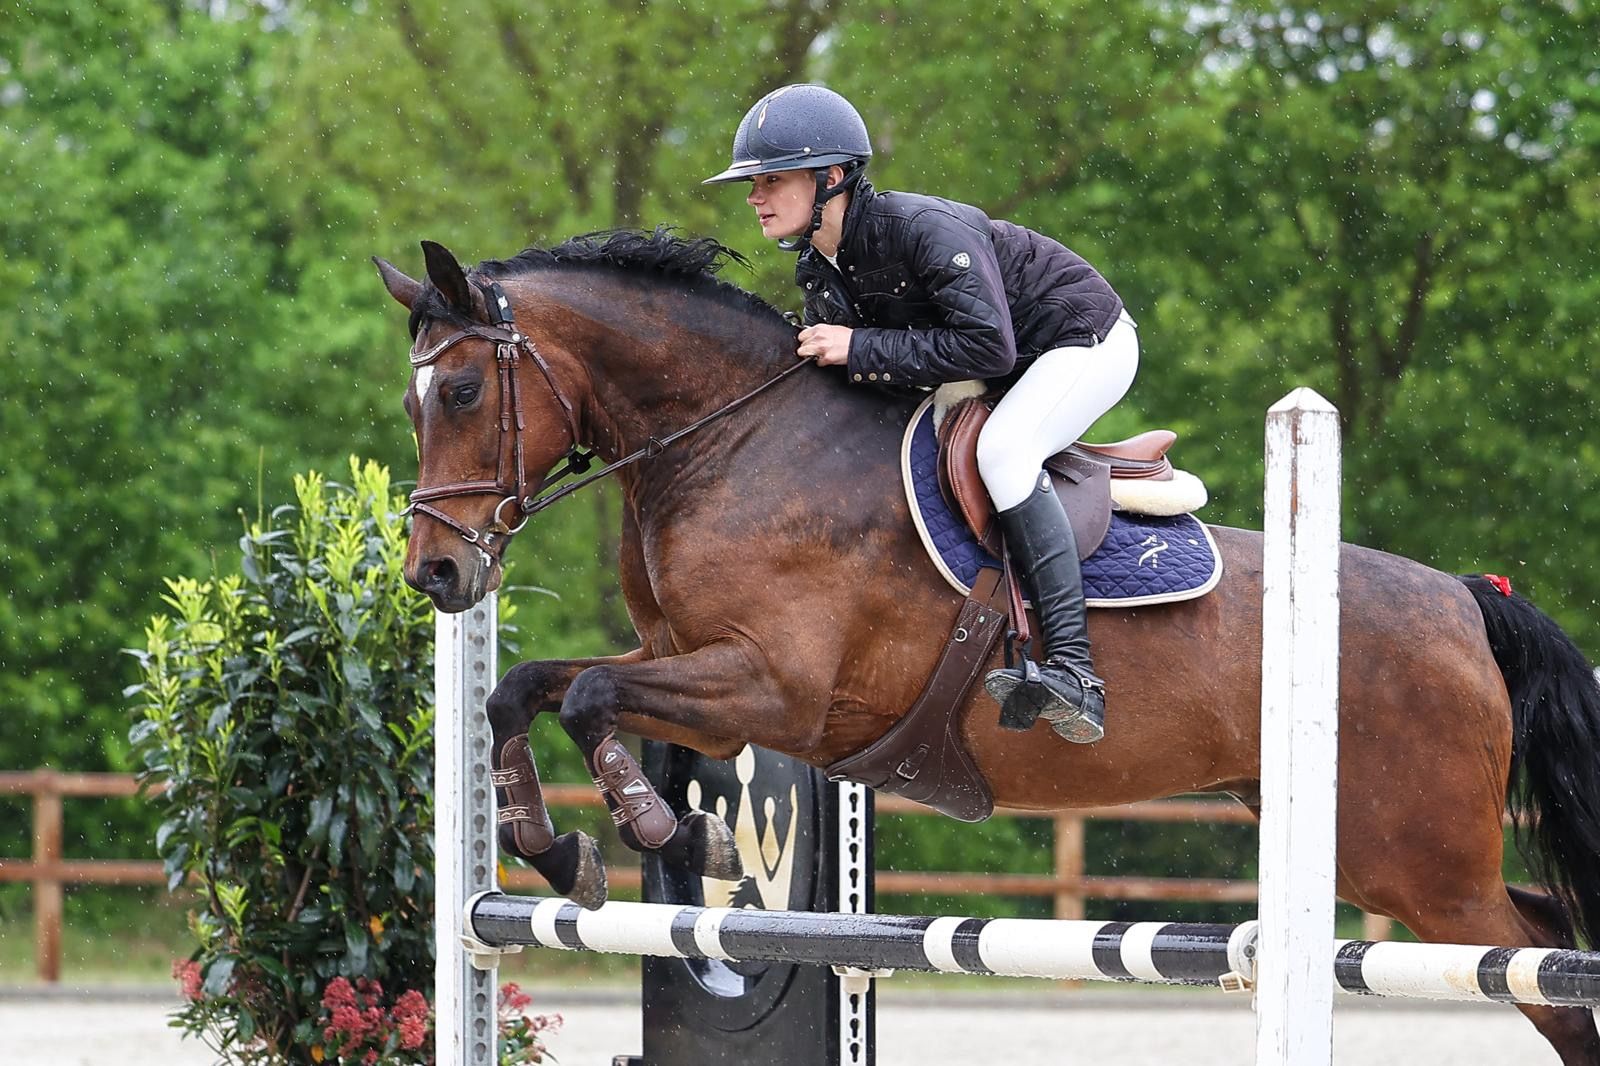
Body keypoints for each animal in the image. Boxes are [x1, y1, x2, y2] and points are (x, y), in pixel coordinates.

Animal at [373, 228, 1600, 1064]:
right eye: (413, 399)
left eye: (466, 388)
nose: (436, 575)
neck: (733, 442)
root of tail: (1461, 601)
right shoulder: (688, 664)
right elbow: (525, 690)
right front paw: (553, 849)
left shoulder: (770, 690)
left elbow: (589, 703)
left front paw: (669, 830)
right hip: (1353, 841)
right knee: (1542, 942)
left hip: (1414, 854)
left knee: (1537, 966)